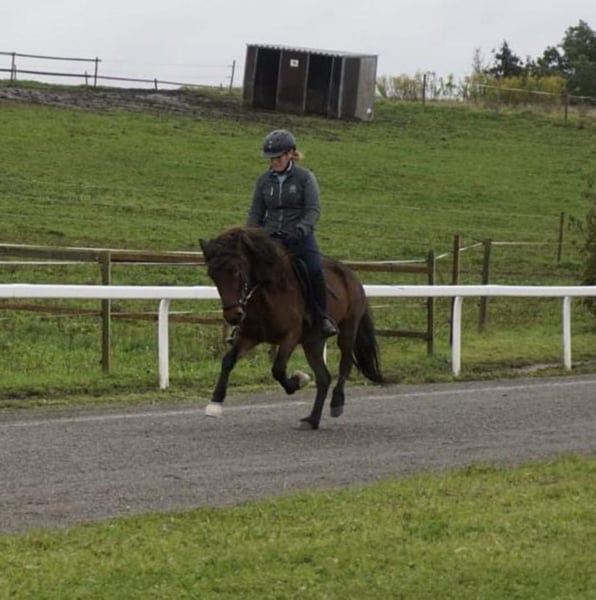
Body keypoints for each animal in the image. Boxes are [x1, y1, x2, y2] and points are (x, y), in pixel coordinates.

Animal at [199, 226, 384, 430]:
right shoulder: (248, 336)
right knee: (324, 378)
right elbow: (228, 361)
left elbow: (278, 369)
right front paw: (215, 403)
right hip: (313, 342)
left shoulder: (291, 336)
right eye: (212, 274)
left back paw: (336, 403)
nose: (233, 316)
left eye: (235, 270)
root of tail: (351, 275)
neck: (268, 293)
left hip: (348, 329)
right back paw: (312, 420)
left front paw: (298, 380)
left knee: (345, 364)